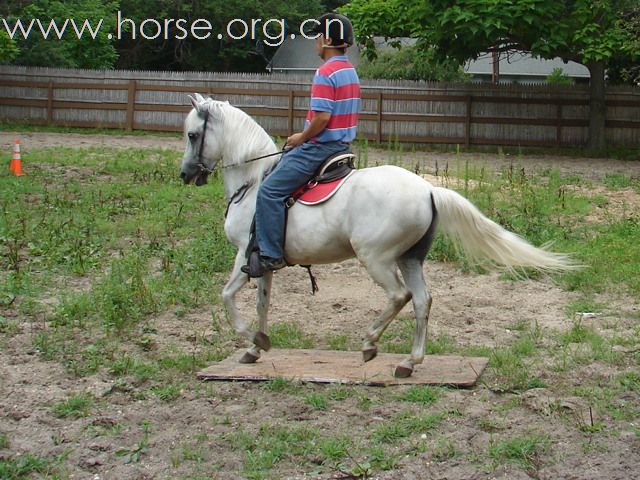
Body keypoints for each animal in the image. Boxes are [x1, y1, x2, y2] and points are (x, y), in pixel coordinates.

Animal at [179, 94, 576, 378]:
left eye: (193, 135)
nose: (186, 175)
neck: (252, 181)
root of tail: (428, 190)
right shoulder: (264, 262)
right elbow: (263, 303)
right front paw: (256, 347)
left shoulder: (243, 254)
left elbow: (227, 296)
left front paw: (252, 339)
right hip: (409, 258)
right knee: (422, 300)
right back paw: (409, 363)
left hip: (376, 258)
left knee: (399, 296)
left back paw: (370, 344)